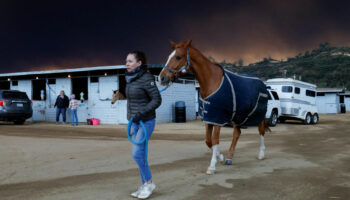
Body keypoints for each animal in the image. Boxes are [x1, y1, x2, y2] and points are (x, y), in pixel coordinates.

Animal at [159, 40, 270, 175]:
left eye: (178, 57)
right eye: (168, 56)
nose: (162, 77)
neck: (211, 81)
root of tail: (262, 83)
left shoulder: (218, 117)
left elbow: (215, 140)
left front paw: (212, 166)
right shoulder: (209, 117)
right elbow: (208, 141)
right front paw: (221, 157)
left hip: (259, 114)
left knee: (261, 131)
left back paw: (261, 154)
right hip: (238, 115)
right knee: (237, 133)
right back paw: (229, 157)